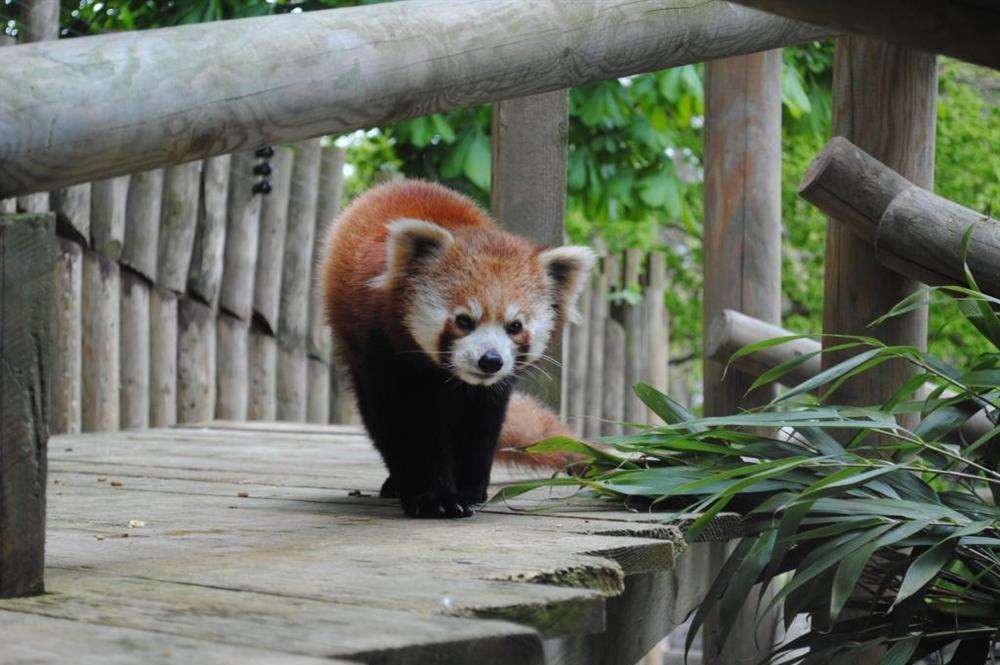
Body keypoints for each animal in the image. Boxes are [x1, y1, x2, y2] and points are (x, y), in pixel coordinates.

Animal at [324, 179, 592, 516]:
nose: (490, 360)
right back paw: (397, 484)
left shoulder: (490, 391)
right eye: (464, 321)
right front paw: (432, 497)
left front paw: (469, 490)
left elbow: (480, 425)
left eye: (515, 326)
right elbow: (405, 422)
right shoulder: (384, 350)